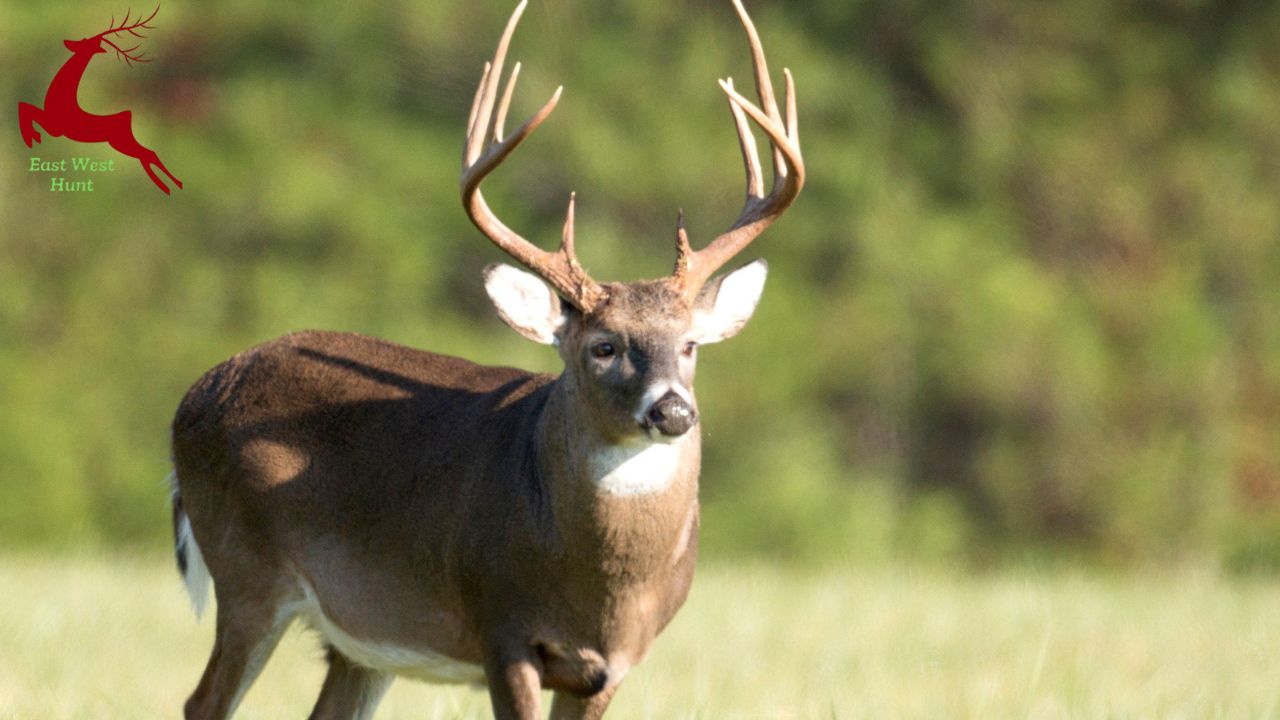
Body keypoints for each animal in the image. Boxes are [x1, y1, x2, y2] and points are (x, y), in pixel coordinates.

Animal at [16, 7, 183, 196]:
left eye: (85, 41)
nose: (67, 41)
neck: (63, 97)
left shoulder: (55, 128)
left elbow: (26, 108)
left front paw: (32, 137)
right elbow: (25, 107)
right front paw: (33, 137)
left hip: (120, 142)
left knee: (148, 154)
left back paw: (169, 186)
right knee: (148, 154)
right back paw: (171, 186)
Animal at [168, 1, 798, 712]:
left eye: (690, 344)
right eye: (603, 346)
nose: (672, 411)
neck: (602, 590)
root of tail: (197, 393)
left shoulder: (614, 664)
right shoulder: (502, 626)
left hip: (359, 640)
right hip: (246, 571)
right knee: (201, 701)